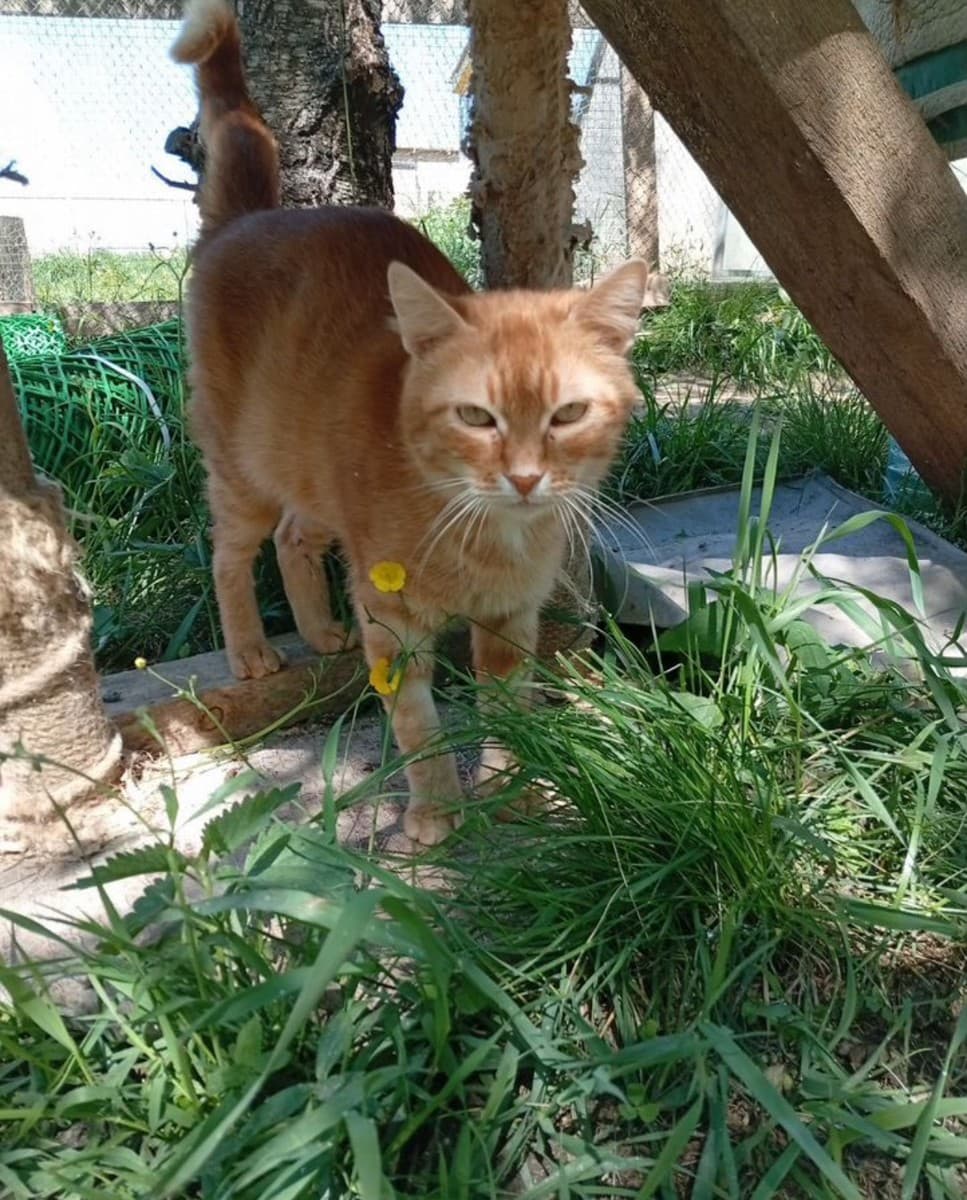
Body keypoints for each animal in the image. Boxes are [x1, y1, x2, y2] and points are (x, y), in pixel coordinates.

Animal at [171, 0, 649, 845]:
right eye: (475, 416)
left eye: (566, 414)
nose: (524, 478)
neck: (485, 535)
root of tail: (251, 217)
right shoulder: (392, 619)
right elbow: (419, 724)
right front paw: (434, 813)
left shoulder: (509, 621)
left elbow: (507, 708)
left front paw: (511, 789)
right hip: (241, 472)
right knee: (230, 554)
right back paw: (252, 649)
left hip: (310, 482)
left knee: (294, 539)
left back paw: (319, 630)